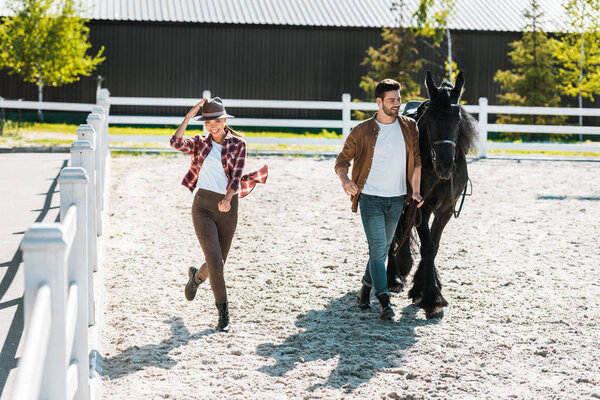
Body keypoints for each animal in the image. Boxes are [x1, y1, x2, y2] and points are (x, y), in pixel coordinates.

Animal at [390, 70, 478, 318]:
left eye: (457, 118)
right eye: (431, 117)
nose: (445, 165)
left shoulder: (445, 209)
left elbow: (434, 246)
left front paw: (423, 288)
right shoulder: (422, 207)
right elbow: (427, 247)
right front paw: (432, 298)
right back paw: (394, 276)